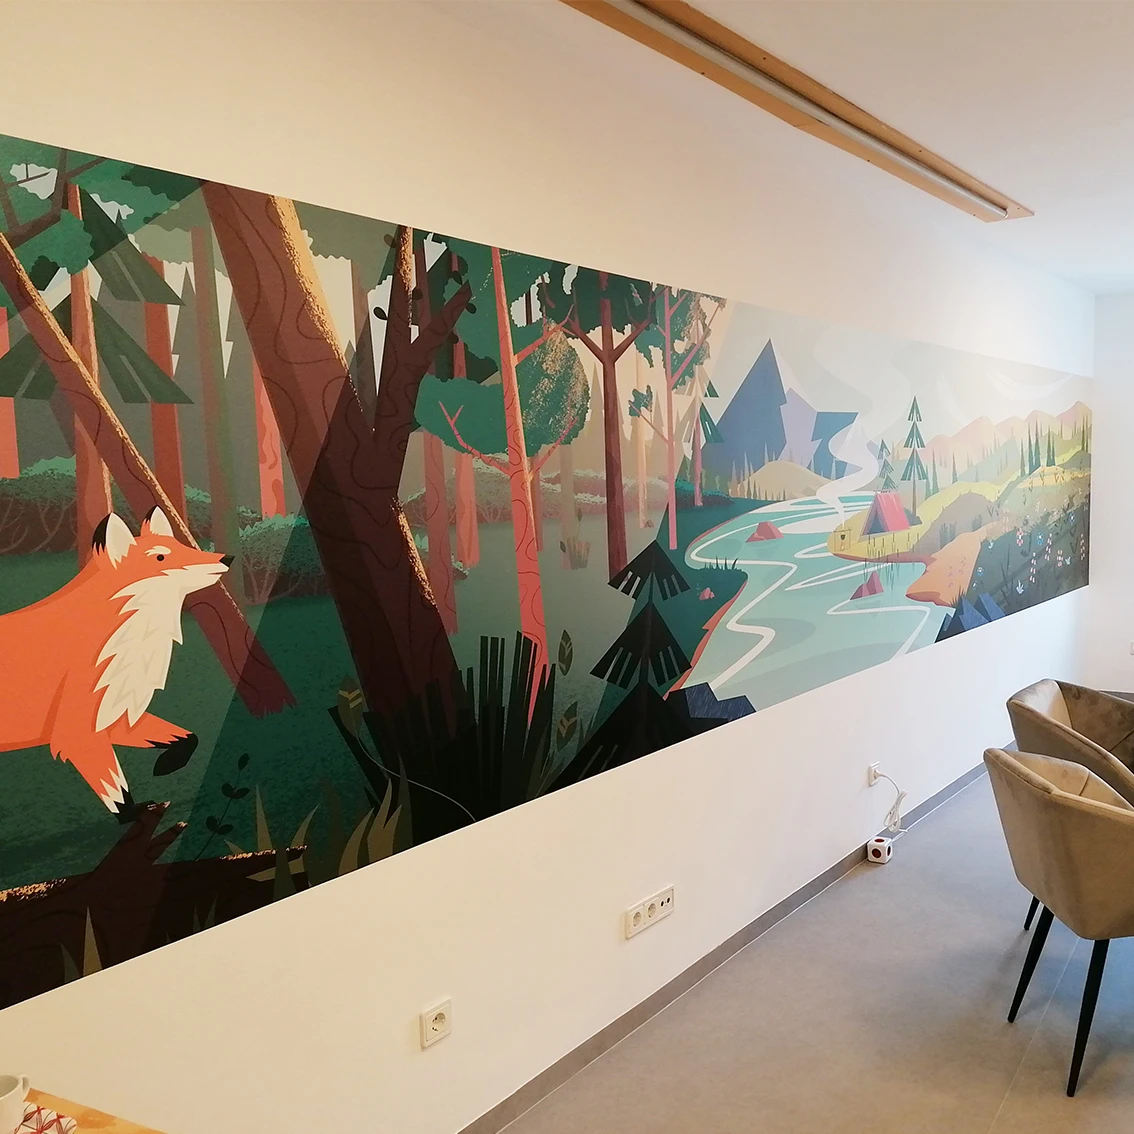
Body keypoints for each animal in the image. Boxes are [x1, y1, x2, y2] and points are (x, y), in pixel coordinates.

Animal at [0, 506, 231, 823]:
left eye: (181, 545)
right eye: (160, 557)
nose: (226, 558)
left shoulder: (113, 714)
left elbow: (188, 738)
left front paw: (166, 766)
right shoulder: (77, 732)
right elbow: (116, 790)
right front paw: (131, 815)